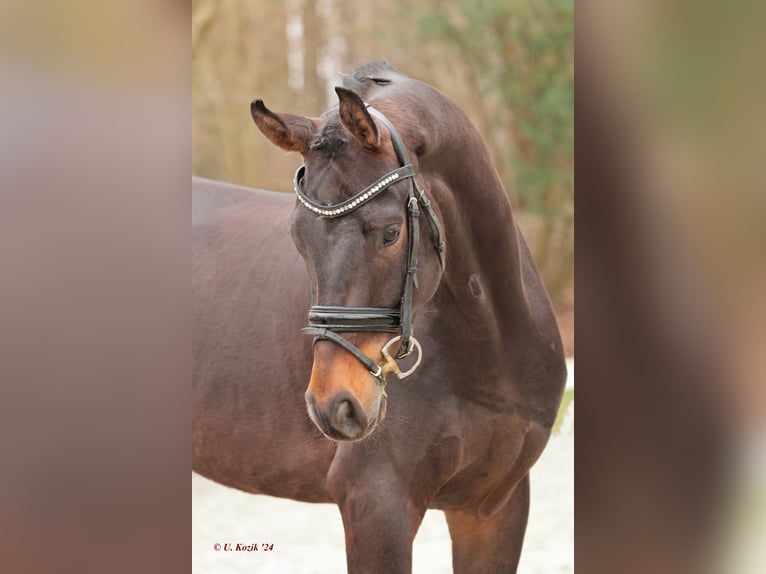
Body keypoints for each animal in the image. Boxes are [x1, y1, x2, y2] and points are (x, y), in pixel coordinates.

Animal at [195, 60, 568, 572]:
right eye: (298, 236)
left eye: (391, 233)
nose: (334, 405)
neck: (489, 347)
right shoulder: (376, 501)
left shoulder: (495, 506)